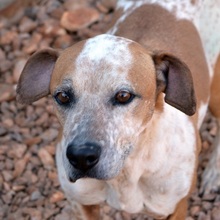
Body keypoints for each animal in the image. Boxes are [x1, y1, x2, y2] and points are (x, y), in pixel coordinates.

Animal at [16, 0, 220, 220]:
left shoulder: (174, 207)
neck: (126, 171)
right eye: (62, 96)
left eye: (123, 96)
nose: (81, 157)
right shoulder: (82, 203)